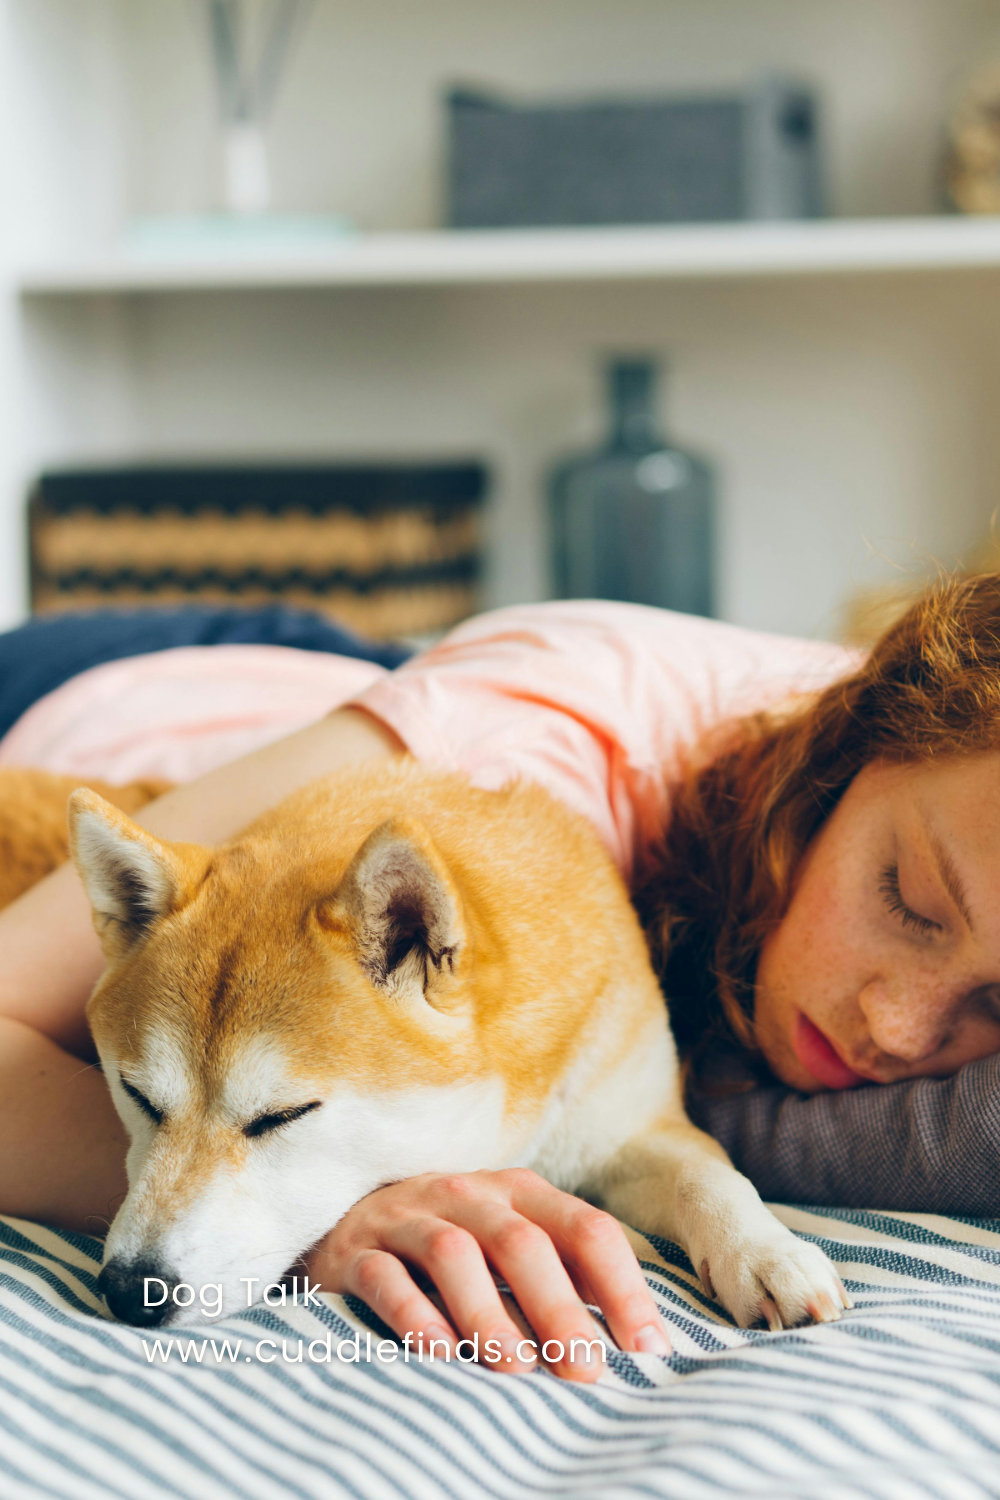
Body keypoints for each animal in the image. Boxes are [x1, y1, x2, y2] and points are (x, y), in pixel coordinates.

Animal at [70, 762, 851, 1338]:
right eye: (137, 1095)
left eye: (282, 1117)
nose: (129, 1290)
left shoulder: (631, 1129)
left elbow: (710, 1176)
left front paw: (767, 1251)